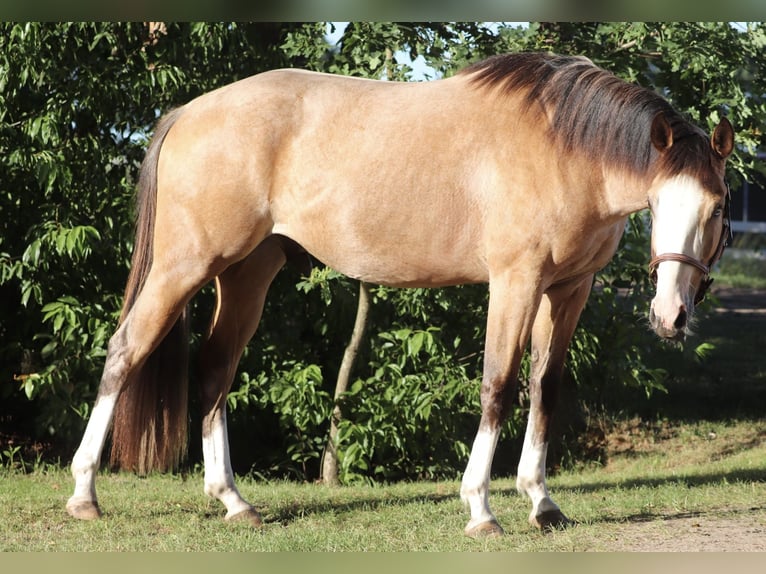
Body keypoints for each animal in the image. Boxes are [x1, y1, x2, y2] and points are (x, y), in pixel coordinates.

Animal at [66, 52, 734, 537]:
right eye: (658, 203)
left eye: (717, 206)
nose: (671, 316)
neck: (563, 151)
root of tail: (189, 112)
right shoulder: (515, 282)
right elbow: (498, 386)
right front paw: (480, 509)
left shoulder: (568, 290)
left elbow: (545, 389)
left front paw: (542, 503)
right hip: (184, 265)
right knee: (125, 352)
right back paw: (84, 493)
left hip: (248, 274)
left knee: (214, 372)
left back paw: (233, 501)